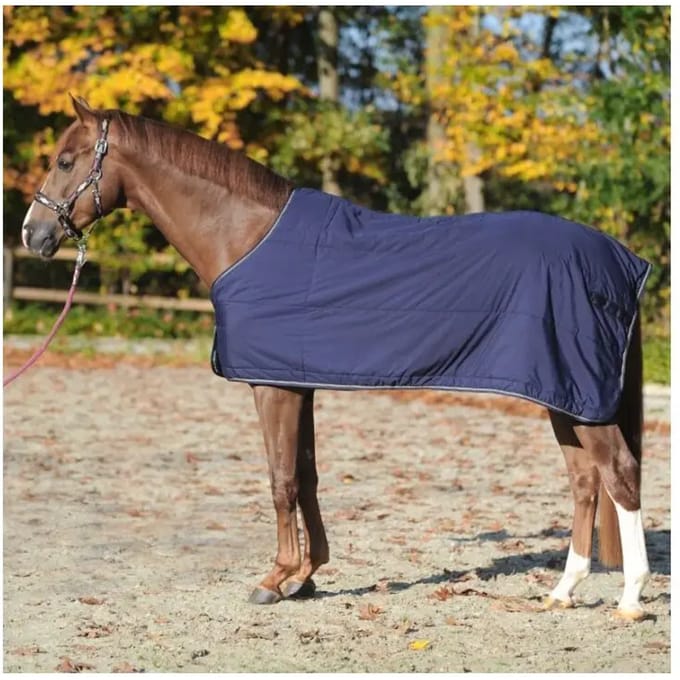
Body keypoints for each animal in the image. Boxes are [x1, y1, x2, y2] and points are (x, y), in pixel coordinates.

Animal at [20, 96, 651, 619]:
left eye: (67, 161)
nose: (32, 234)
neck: (247, 236)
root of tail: (619, 258)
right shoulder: (296, 382)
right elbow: (306, 475)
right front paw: (306, 575)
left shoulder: (272, 387)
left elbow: (279, 479)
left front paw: (273, 579)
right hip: (564, 396)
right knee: (585, 481)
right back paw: (563, 591)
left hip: (578, 396)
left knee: (618, 472)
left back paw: (630, 599)